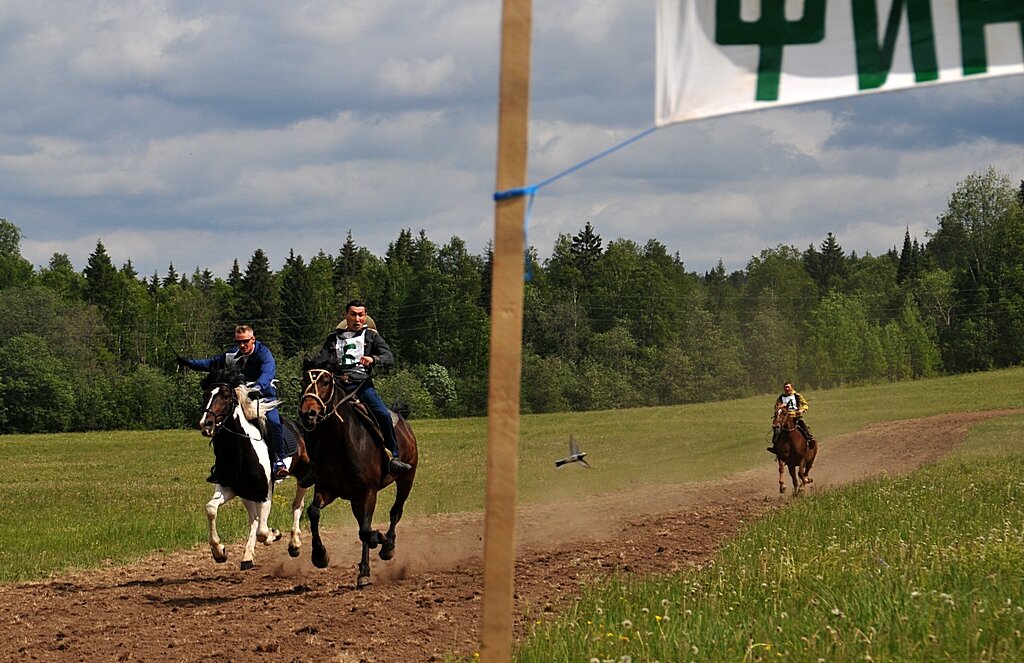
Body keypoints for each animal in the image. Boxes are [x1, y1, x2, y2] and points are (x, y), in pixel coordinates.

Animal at [296, 350, 415, 590]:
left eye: (325, 381)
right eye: (304, 381)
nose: (308, 414)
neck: (340, 441)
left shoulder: (368, 492)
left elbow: (366, 531)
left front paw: (381, 540)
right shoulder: (328, 489)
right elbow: (313, 512)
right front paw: (320, 556)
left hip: (406, 478)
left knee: (395, 511)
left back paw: (387, 548)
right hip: (354, 499)